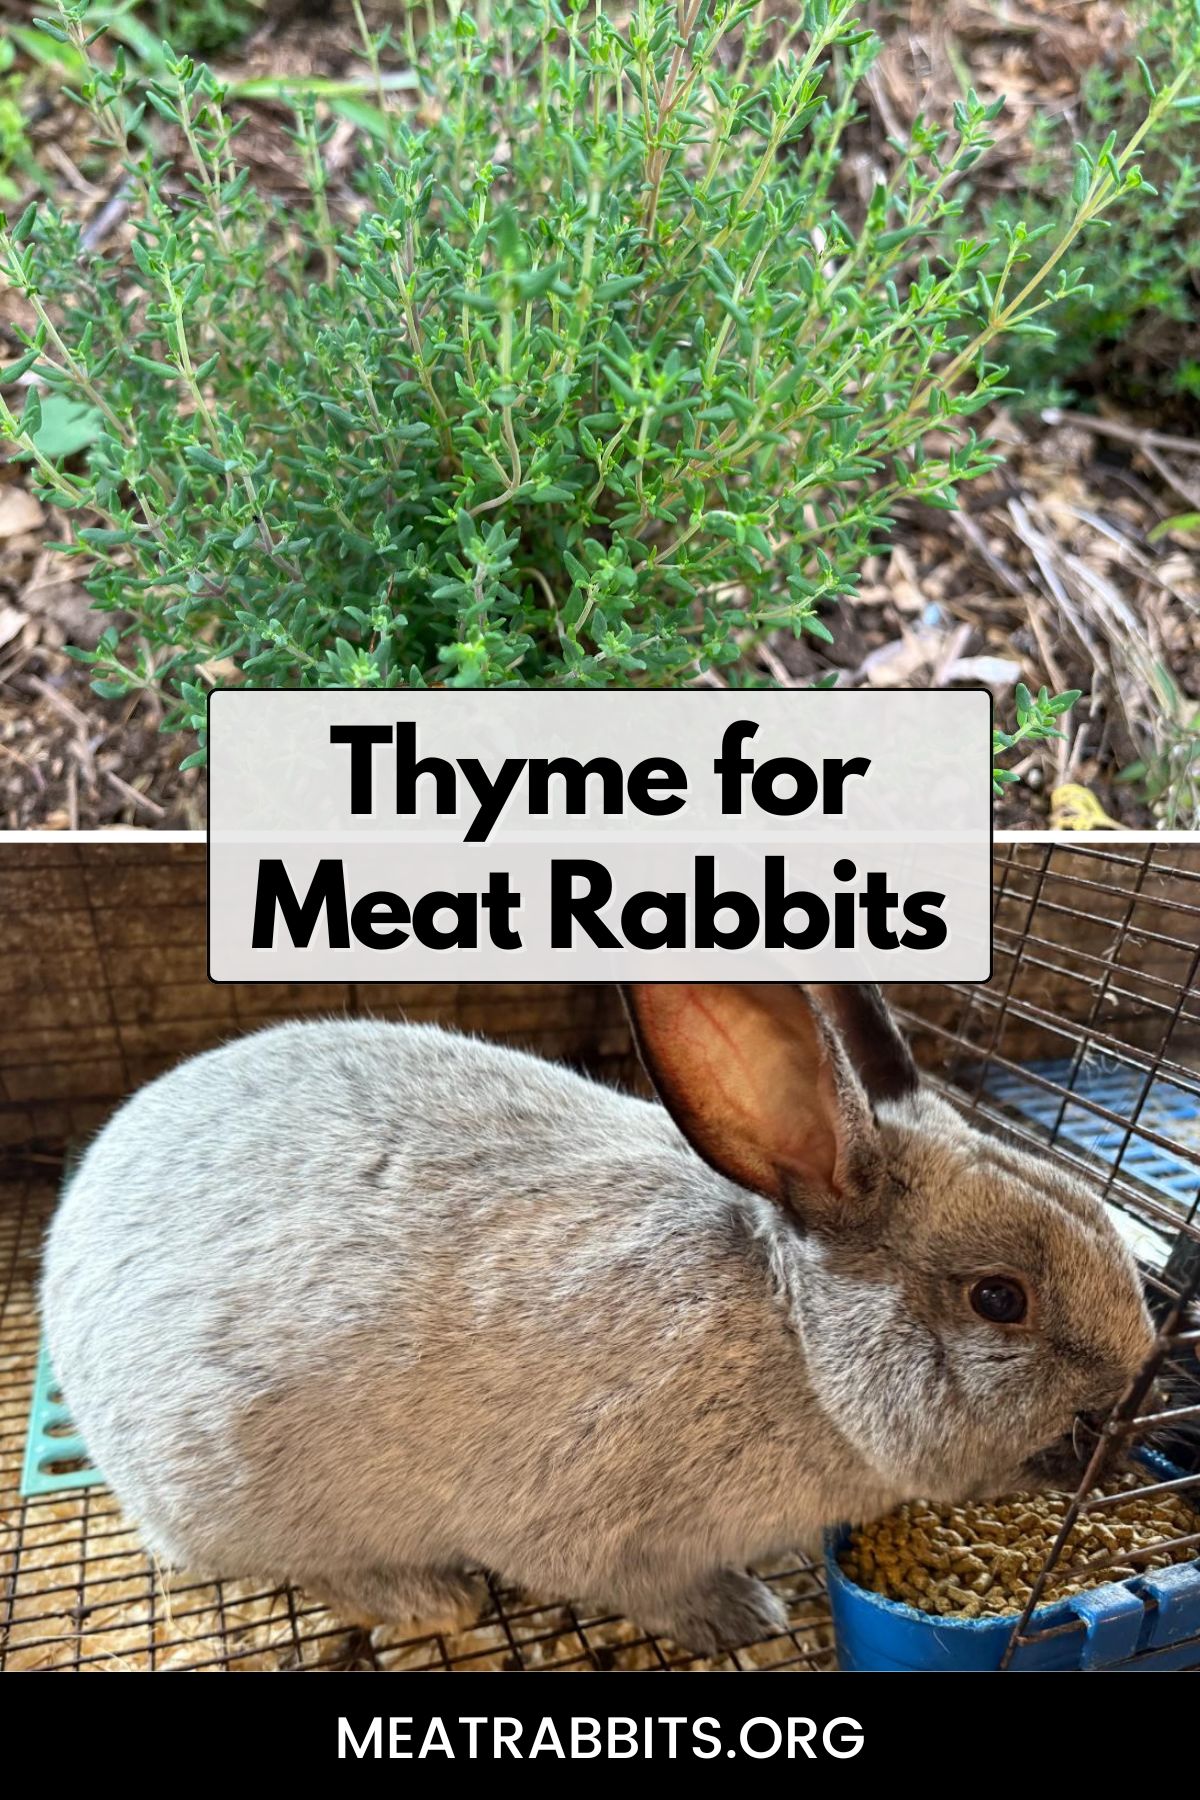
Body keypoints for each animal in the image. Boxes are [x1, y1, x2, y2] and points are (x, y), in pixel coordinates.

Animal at [41, 984, 1157, 1653]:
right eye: (999, 1299)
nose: (1132, 1399)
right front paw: (740, 1615)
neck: (796, 1340)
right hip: (232, 1492)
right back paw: (431, 1599)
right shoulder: (597, 1526)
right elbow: (647, 1590)